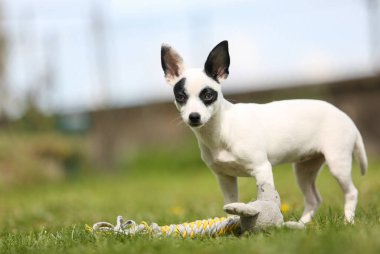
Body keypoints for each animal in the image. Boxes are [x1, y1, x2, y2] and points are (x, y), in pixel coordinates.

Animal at [160, 40, 368, 223]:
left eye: (208, 95)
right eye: (181, 97)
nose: (194, 116)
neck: (222, 129)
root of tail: (344, 116)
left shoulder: (262, 169)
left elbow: (267, 199)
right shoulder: (225, 178)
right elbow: (230, 204)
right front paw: (232, 224)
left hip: (337, 163)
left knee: (351, 192)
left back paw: (348, 221)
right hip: (304, 169)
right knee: (314, 199)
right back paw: (303, 224)